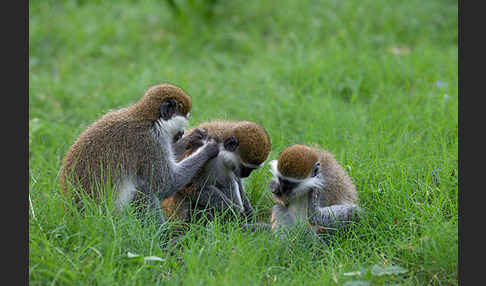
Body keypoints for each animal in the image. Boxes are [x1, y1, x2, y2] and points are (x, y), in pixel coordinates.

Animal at [59, 84, 219, 220]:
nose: (183, 132)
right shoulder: (149, 142)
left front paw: (193, 138)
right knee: (145, 190)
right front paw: (208, 149)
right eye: (185, 119)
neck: (149, 120)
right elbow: (166, 183)